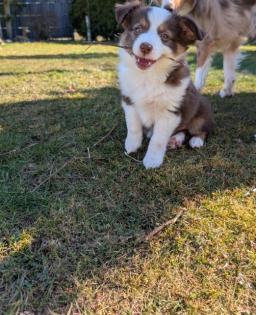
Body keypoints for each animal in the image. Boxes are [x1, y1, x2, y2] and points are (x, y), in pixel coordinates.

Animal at [115, 0, 214, 170]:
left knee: (199, 129)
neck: (148, 76)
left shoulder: (170, 111)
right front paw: (132, 145)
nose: (145, 47)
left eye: (165, 36)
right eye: (138, 29)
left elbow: (158, 139)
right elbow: (133, 126)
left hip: (201, 111)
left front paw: (152, 160)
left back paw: (196, 140)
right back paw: (175, 140)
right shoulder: (129, 101)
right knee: (182, 130)